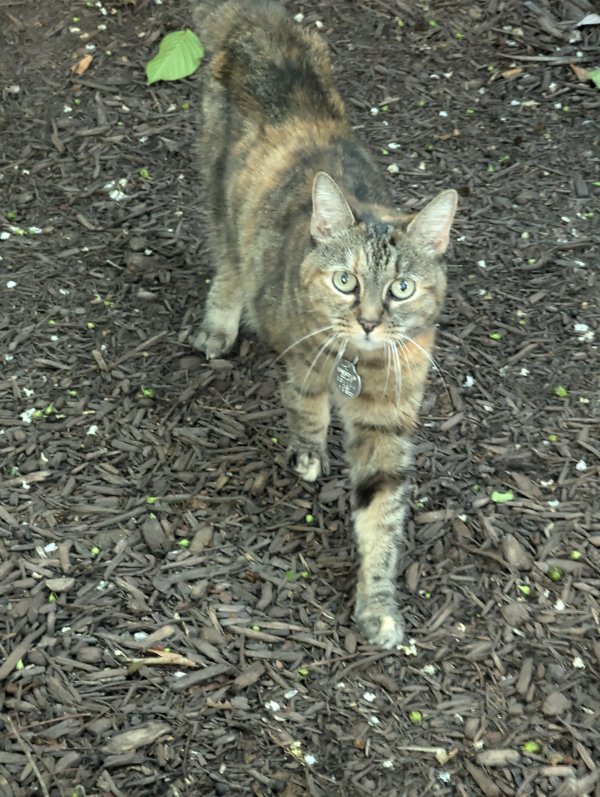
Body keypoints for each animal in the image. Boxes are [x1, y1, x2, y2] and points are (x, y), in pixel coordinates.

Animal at [190, 0, 458, 648]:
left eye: (401, 288)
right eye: (345, 281)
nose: (368, 322)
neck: (357, 365)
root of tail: (260, 20)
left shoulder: (388, 421)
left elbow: (382, 511)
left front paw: (378, 605)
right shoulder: (301, 354)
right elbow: (305, 403)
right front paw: (308, 450)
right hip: (219, 190)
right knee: (228, 262)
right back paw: (220, 325)